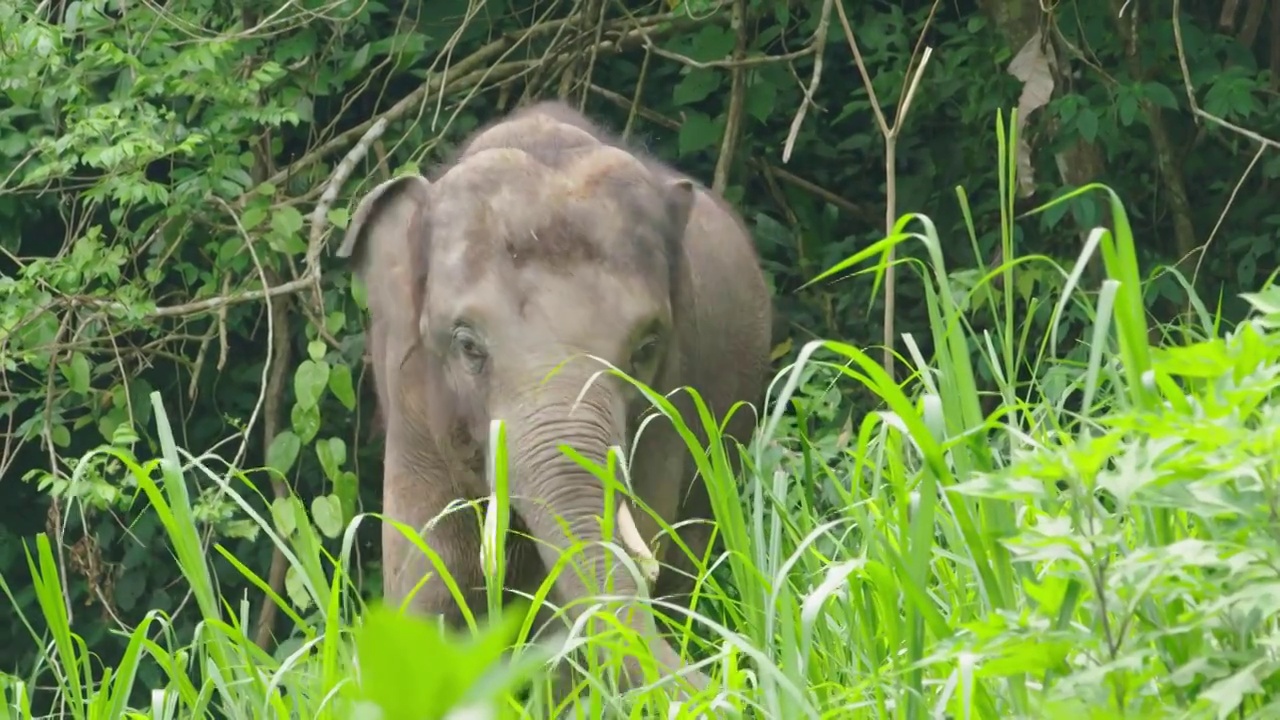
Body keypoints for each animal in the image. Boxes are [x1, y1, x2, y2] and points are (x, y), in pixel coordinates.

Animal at [337, 99, 768, 696]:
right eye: (467, 344)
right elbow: (426, 579)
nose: (737, 679)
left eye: (646, 346)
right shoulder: (411, 406)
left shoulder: (670, 405)